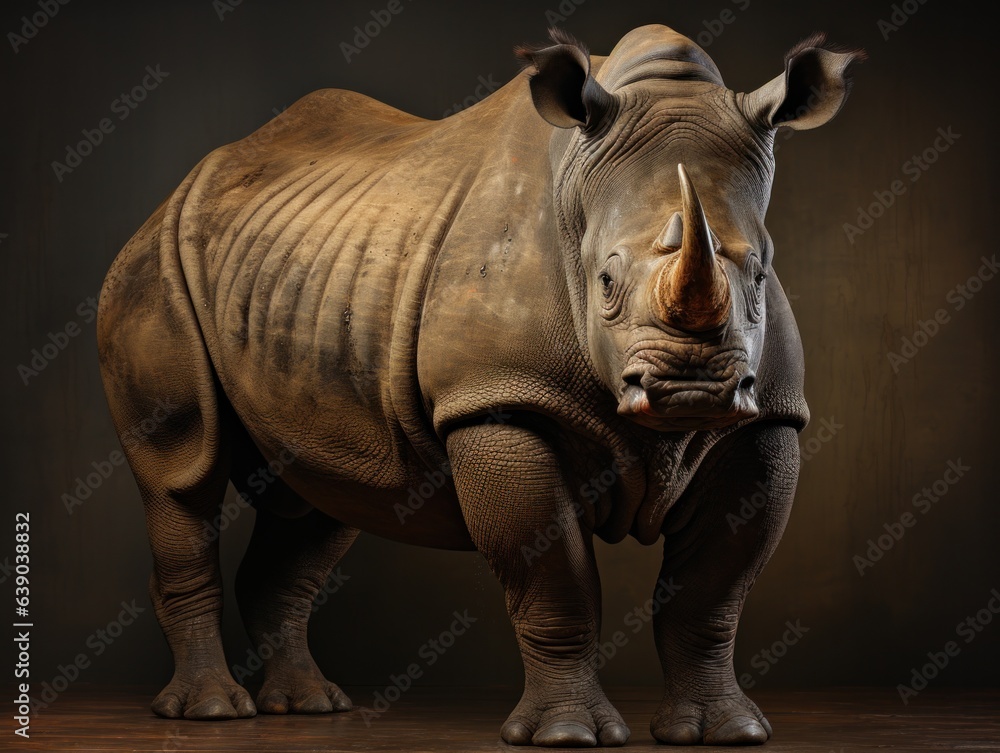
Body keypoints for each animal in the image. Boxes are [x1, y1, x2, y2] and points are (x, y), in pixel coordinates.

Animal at [97, 24, 862, 746]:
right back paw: (211, 712)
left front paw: (725, 733)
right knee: (184, 473)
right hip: (153, 264)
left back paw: (310, 705)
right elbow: (556, 581)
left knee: (322, 495)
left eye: (761, 274)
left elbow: (710, 596)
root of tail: (180, 189)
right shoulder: (498, 402)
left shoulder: (766, 418)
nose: (692, 389)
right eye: (605, 283)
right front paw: (567, 736)